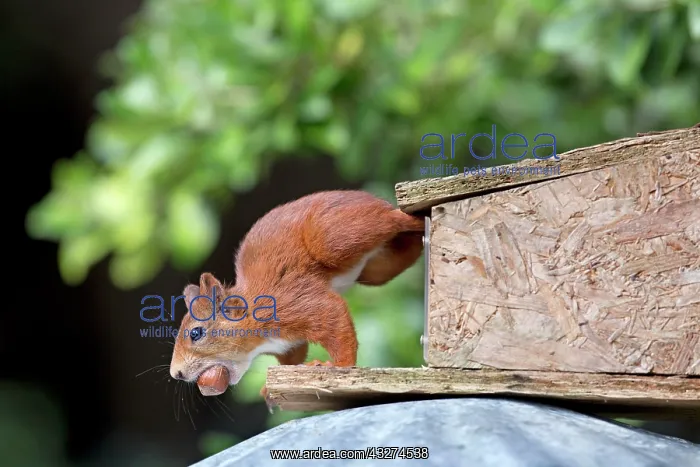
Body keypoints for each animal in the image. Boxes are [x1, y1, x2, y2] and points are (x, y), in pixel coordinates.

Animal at [169, 190, 425, 404]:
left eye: (196, 333)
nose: (176, 373)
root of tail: (373, 200)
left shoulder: (292, 302)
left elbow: (332, 314)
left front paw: (340, 365)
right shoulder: (287, 344)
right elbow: (294, 357)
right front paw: (268, 389)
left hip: (334, 237)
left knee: (388, 220)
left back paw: (413, 218)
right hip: (376, 270)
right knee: (406, 251)